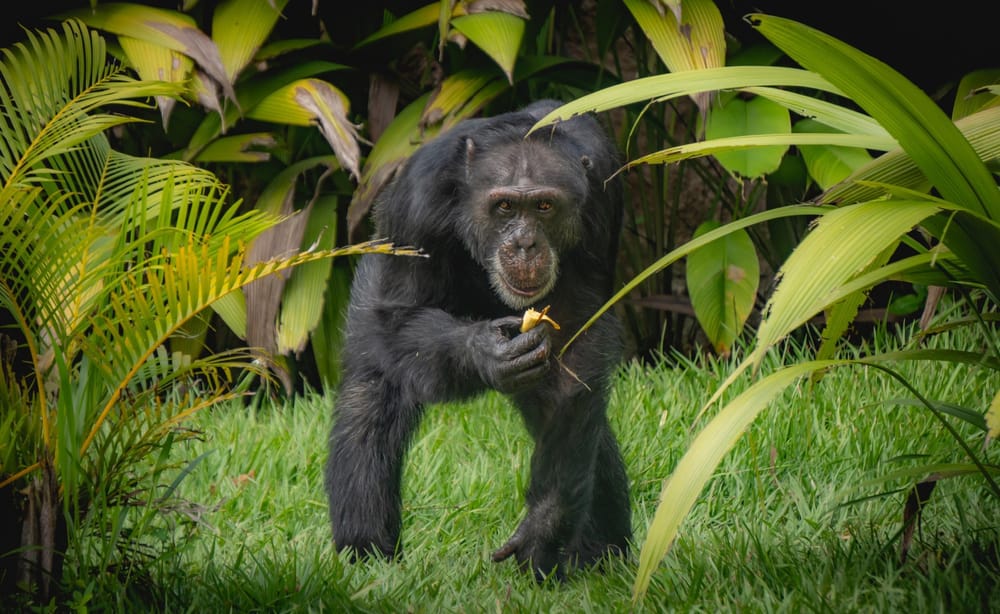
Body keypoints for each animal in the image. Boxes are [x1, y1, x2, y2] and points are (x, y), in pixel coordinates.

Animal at [324, 101, 628, 584]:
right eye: (504, 206)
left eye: (544, 206)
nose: (524, 242)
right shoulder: (417, 200)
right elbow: (399, 314)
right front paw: (483, 352)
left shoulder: (601, 200)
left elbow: (576, 349)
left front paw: (546, 523)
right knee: (371, 390)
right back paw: (366, 550)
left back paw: (602, 556)